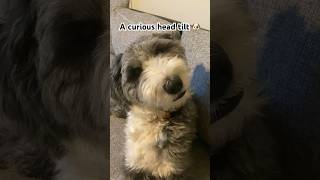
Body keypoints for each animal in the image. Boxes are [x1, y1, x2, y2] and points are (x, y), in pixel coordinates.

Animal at [110, 32, 198, 180]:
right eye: (136, 72)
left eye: (160, 50)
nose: (173, 84)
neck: (156, 119)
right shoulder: (132, 164)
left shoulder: (173, 169)